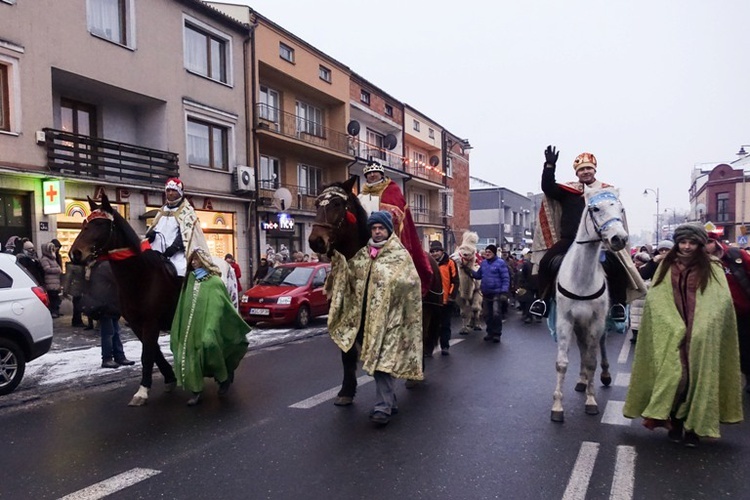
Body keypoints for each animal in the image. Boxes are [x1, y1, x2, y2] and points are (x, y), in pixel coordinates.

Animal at [71, 194, 182, 406]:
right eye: (84, 224)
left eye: (100, 224)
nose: (75, 253)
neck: (142, 276)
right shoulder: (137, 324)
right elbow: (154, 352)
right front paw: (170, 378)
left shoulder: (151, 322)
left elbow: (147, 355)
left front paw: (142, 391)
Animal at [308, 178, 444, 404]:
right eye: (318, 204)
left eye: (337, 204)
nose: (315, 241)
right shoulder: (347, 318)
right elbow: (347, 355)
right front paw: (346, 391)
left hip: (425, 311)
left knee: (421, 339)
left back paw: (415, 377)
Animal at [552, 189, 628, 424]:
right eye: (595, 208)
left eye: (621, 209)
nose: (619, 238)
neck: (581, 278)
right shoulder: (566, 320)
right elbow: (562, 363)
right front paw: (557, 407)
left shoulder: (596, 320)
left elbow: (592, 360)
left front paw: (591, 401)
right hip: (579, 325)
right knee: (583, 348)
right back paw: (581, 380)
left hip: (600, 324)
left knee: (597, 348)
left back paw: (603, 375)